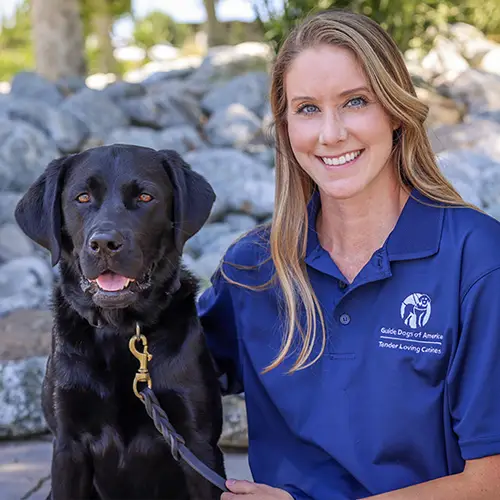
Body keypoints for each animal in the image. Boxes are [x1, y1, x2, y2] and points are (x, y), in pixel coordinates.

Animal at [14, 143, 225, 498]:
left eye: (145, 197)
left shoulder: (198, 446)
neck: (120, 330)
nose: (104, 244)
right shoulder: (68, 446)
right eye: (82, 197)